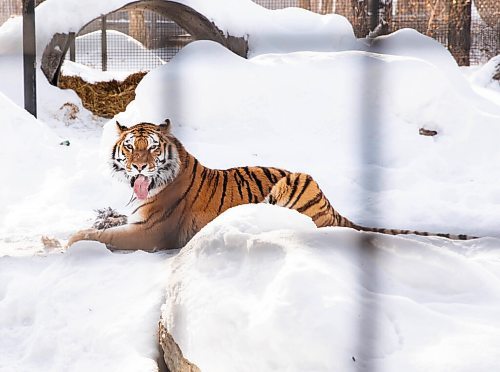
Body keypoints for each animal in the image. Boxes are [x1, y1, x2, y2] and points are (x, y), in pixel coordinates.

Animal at [67, 120, 476, 251]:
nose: (139, 165)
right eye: (129, 146)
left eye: (152, 148)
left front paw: (68, 241)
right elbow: (107, 222)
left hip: (295, 183)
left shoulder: (151, 232)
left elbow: (97, 236)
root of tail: (334, 207)